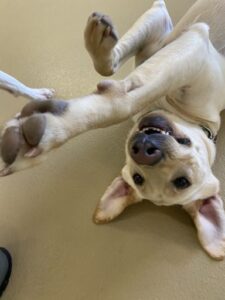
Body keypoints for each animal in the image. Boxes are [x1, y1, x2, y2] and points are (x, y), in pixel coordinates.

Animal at [1, 0, 225, 258]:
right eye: (138, 178)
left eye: (181, 182)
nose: (144, 150)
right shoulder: (166, 30)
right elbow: (112, 71)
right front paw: (101, 44)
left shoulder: (194, 46)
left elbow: (122, 104)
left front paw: (53, 129)